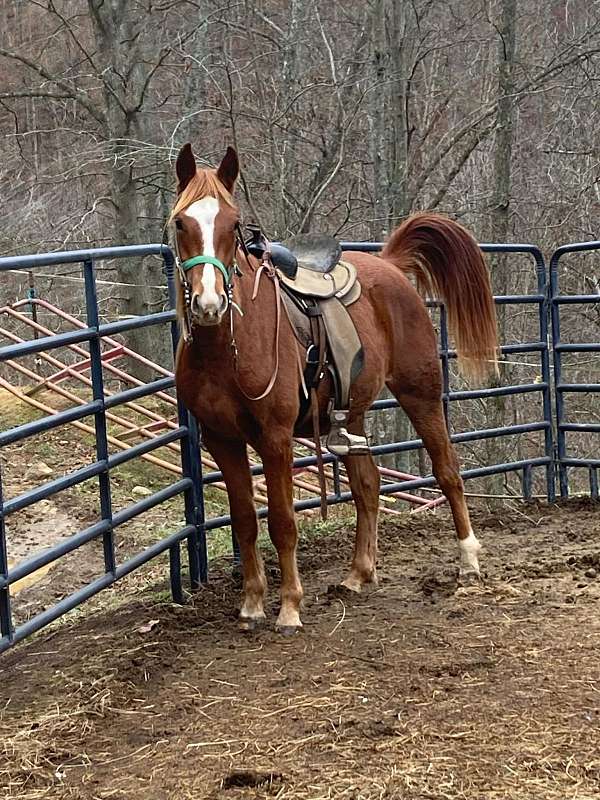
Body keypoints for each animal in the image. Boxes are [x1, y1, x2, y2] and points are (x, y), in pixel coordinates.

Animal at [170, 144, 496, 632]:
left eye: (232, 223)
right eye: (180, 223)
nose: (209, 304)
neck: (225, 350)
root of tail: (389, 263)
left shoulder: (276, 438)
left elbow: (282, 521)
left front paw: (289, 606)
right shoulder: (221, 439)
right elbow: (245, 520)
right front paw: (251, 604)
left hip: (421, 395)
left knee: (448, 472)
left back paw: (468, 561)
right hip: (351, 415)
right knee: (368, 485)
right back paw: (358, 573)